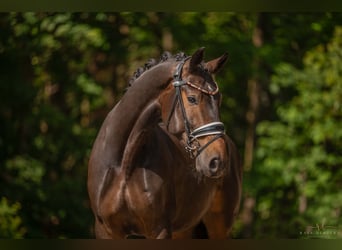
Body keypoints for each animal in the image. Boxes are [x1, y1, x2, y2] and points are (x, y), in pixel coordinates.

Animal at [88, 47, 243, 238]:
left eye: (219, 99)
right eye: (192, 99)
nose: (218, 161)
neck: (123, 163)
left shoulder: (159, 229)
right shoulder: (106, 230)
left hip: (217, 228)